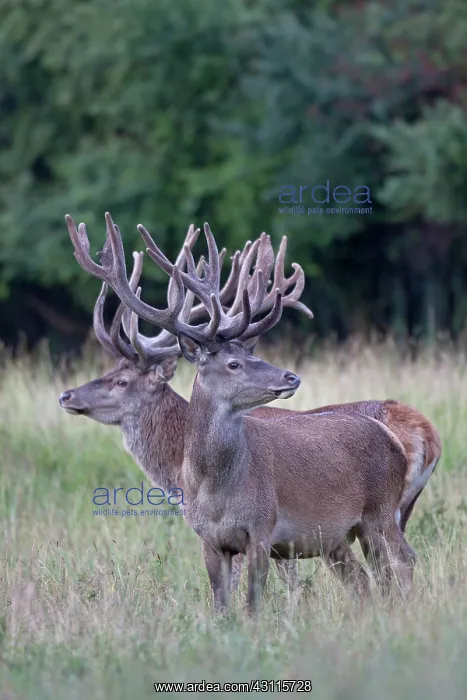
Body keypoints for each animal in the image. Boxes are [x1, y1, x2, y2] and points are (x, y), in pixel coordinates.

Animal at [63, 213, 417, 612]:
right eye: (234, 363)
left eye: (121, 380)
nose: (66, 394)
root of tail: (395, 438)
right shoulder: (211, 540)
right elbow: (222, 604)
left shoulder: (262, 531)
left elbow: (254, 602)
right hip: (343, 534)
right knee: (366, 580)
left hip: (380, 512)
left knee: (401, 562)